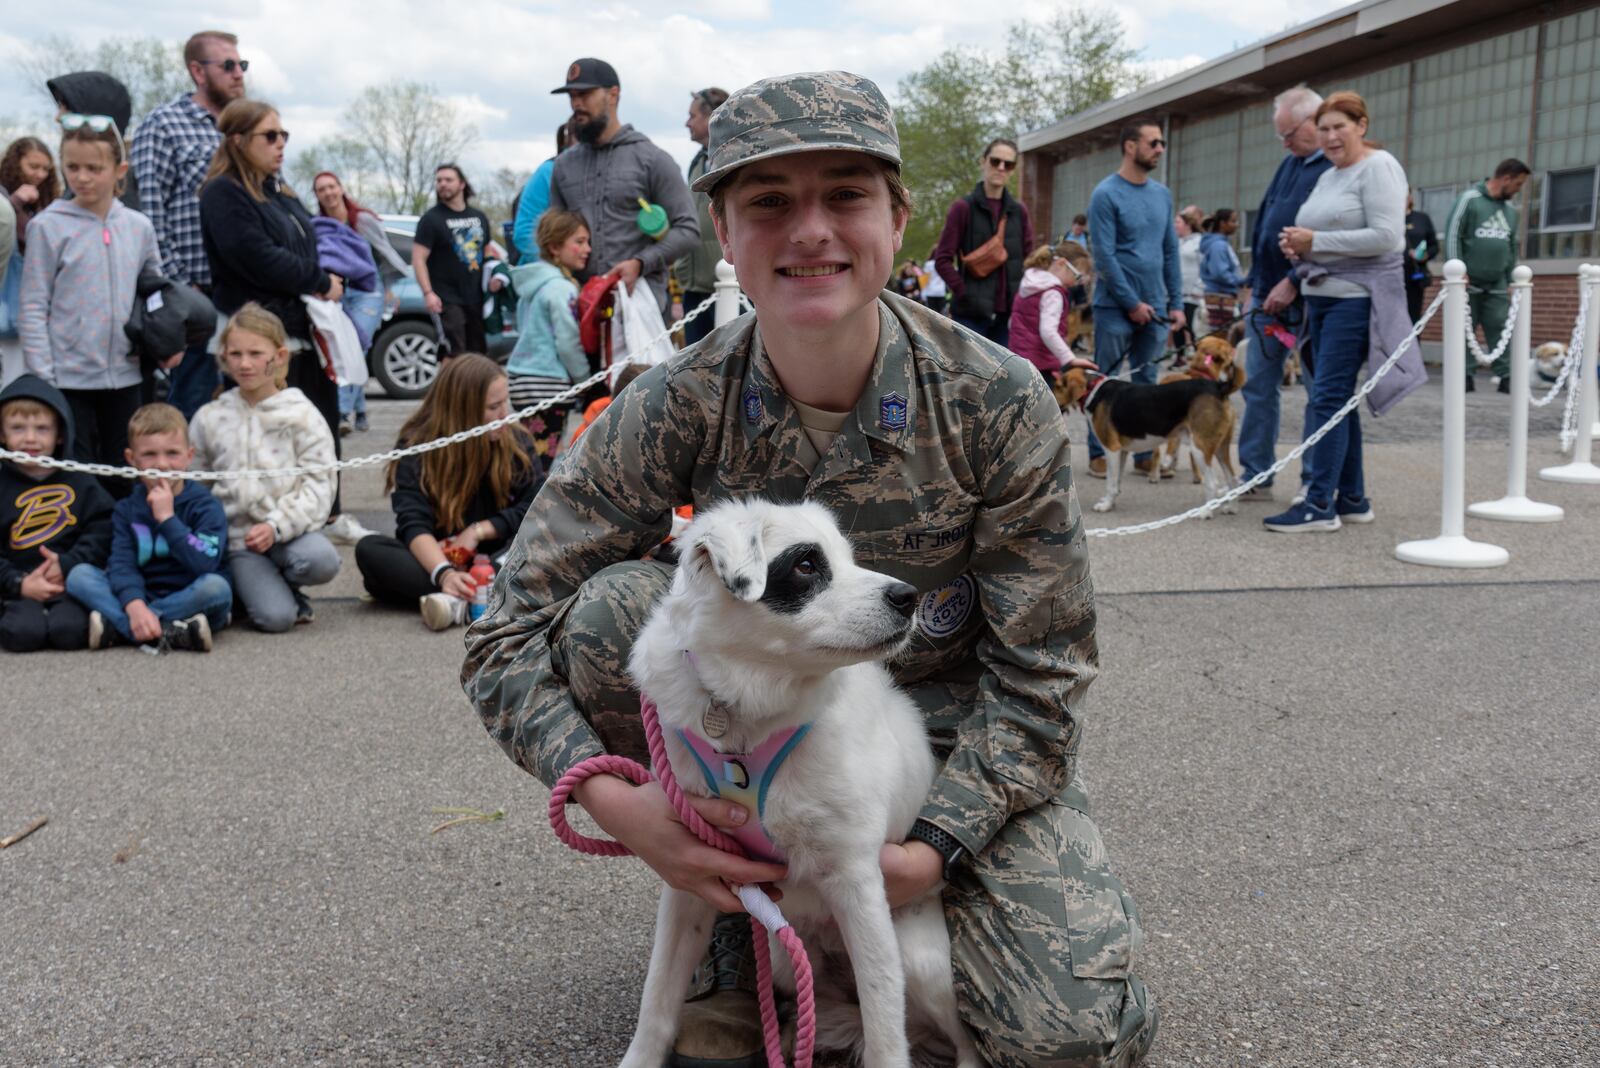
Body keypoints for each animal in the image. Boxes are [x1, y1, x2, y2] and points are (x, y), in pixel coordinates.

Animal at [620, 498, 972, 1068]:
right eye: (807, 564)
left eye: (850, 557)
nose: (909, 597)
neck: (749, 712)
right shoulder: (690, 872)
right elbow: (658, 996)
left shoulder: (857, 882)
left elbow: (884, 1030)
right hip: (786, 956)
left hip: (919, 959)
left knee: (958, 1040)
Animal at [1056, 367, 1241, 518]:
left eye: (1058, 386)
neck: (1093, 388)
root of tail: (1219, 387)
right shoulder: (1122, 451)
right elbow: (1117, 482)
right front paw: (1112, 502)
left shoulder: (1112, 449)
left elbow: (1110, 482)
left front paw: (1106, 506)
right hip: (1221, 448)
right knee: (1232, 479)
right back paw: (1230, 508)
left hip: (1199, 449)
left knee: (1212, 483)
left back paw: (1205, 512)